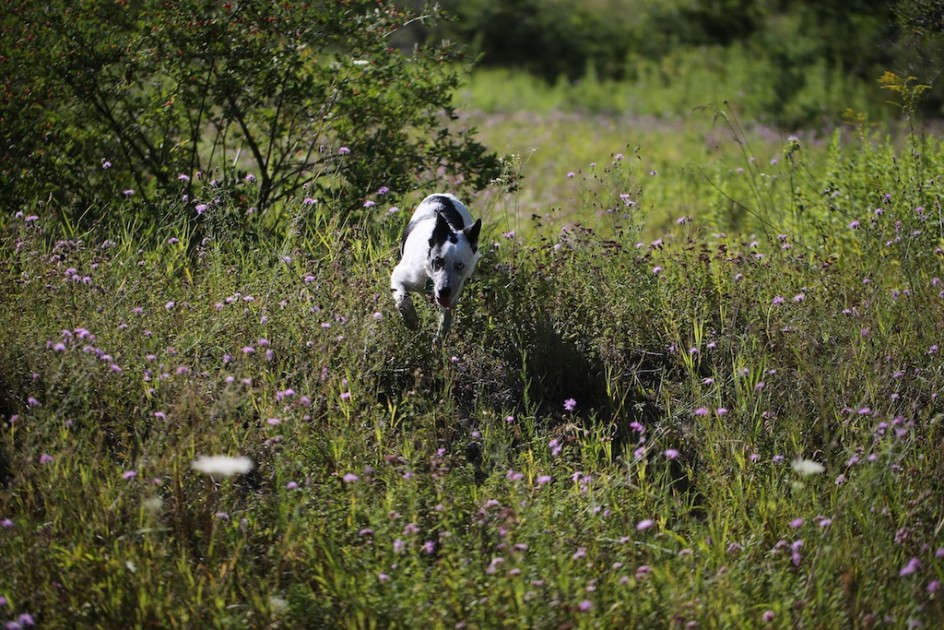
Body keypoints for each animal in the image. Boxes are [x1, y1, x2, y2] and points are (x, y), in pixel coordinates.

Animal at [390, 194, 484, 340]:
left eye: (459, 266)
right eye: (438, 262)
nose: (443, 291)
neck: (428, 275)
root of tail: (443, 195)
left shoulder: (452, 294)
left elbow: (446, 316)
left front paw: (439, 340)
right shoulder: (399, 276)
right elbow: (403, 301)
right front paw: (412, 322)